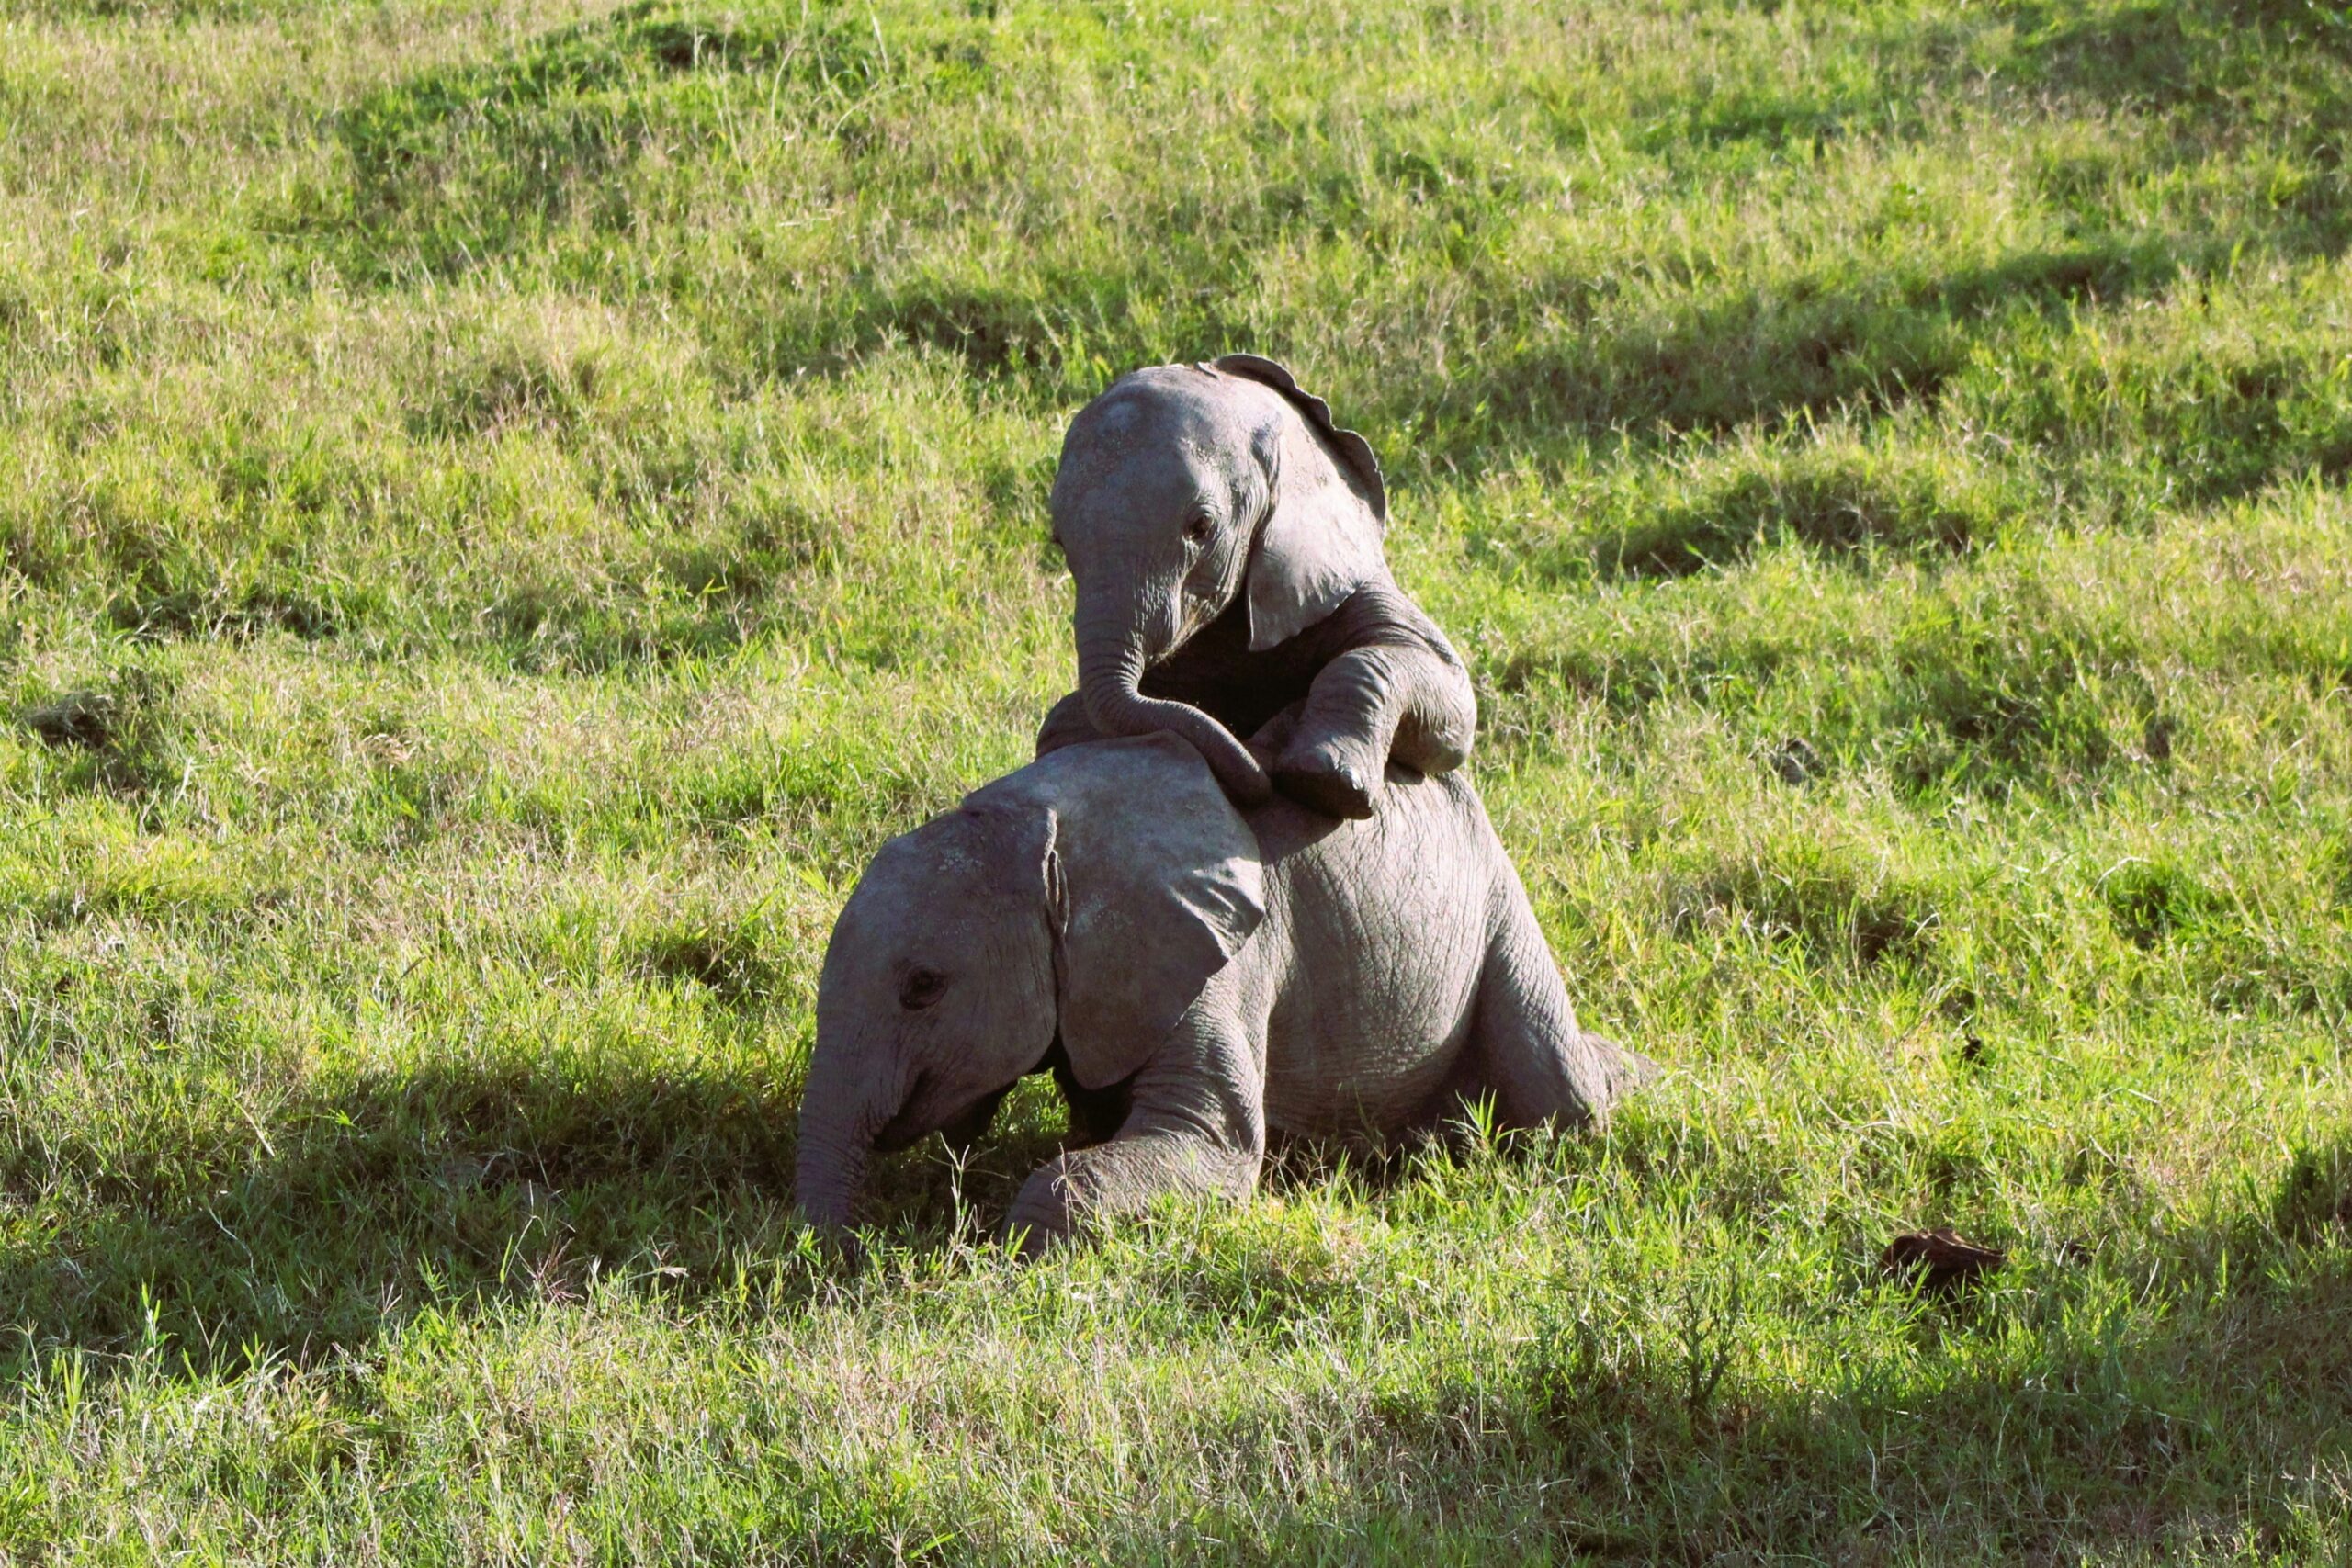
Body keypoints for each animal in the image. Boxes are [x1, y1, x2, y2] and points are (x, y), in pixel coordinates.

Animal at [794, 724, 1655, 1250]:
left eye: (923, 986)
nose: (844, 1251)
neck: (1040, 826)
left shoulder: (1221, 961)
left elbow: (1216, 1144)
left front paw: (1011, 1250)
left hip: (1497, 898)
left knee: (1561, 1096)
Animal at [1037, 355, 1477, 821]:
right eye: (1059, 540)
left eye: (1201, 527)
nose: (1260, 772)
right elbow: (1066, 720)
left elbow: (1443, 685)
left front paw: (1324, 783)